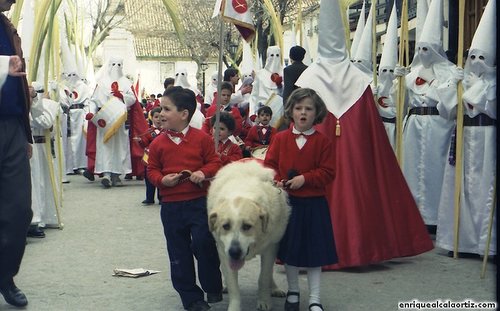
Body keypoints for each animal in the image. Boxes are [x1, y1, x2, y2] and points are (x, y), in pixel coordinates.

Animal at [207, 161, 292, 311]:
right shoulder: (223, 251)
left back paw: (274, 288)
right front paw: (234, 307)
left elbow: (264, 277)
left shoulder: (271, 248)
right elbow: (233, 285)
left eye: (247, 226)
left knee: (269, 272)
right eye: (226, 226)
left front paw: (264, 301)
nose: (234, 252)